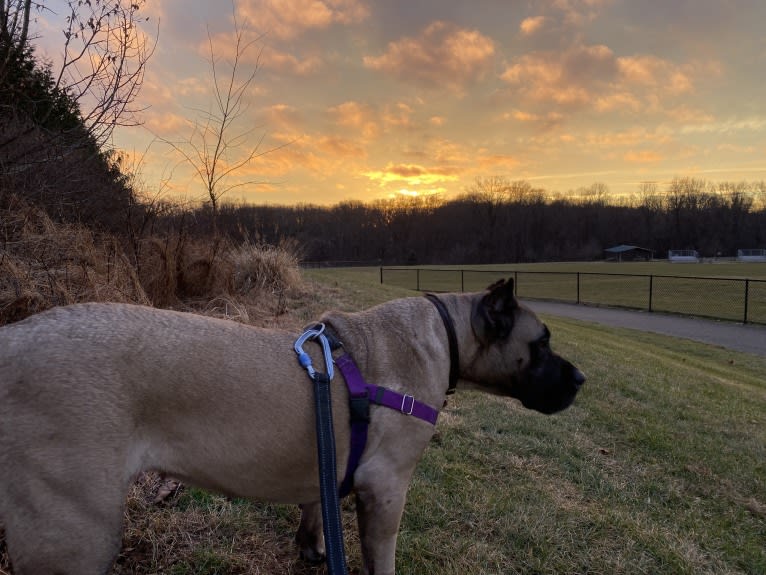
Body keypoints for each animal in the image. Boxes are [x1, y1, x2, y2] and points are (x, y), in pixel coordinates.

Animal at [0, 280, 584, 575]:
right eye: (541, 342)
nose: (580, 379)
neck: (448, 334)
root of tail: (11, 341)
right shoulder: (387, 489)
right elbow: (382, 557)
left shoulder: (325, 462)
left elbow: (314, 507)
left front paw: (311, 546)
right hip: (76, 531)